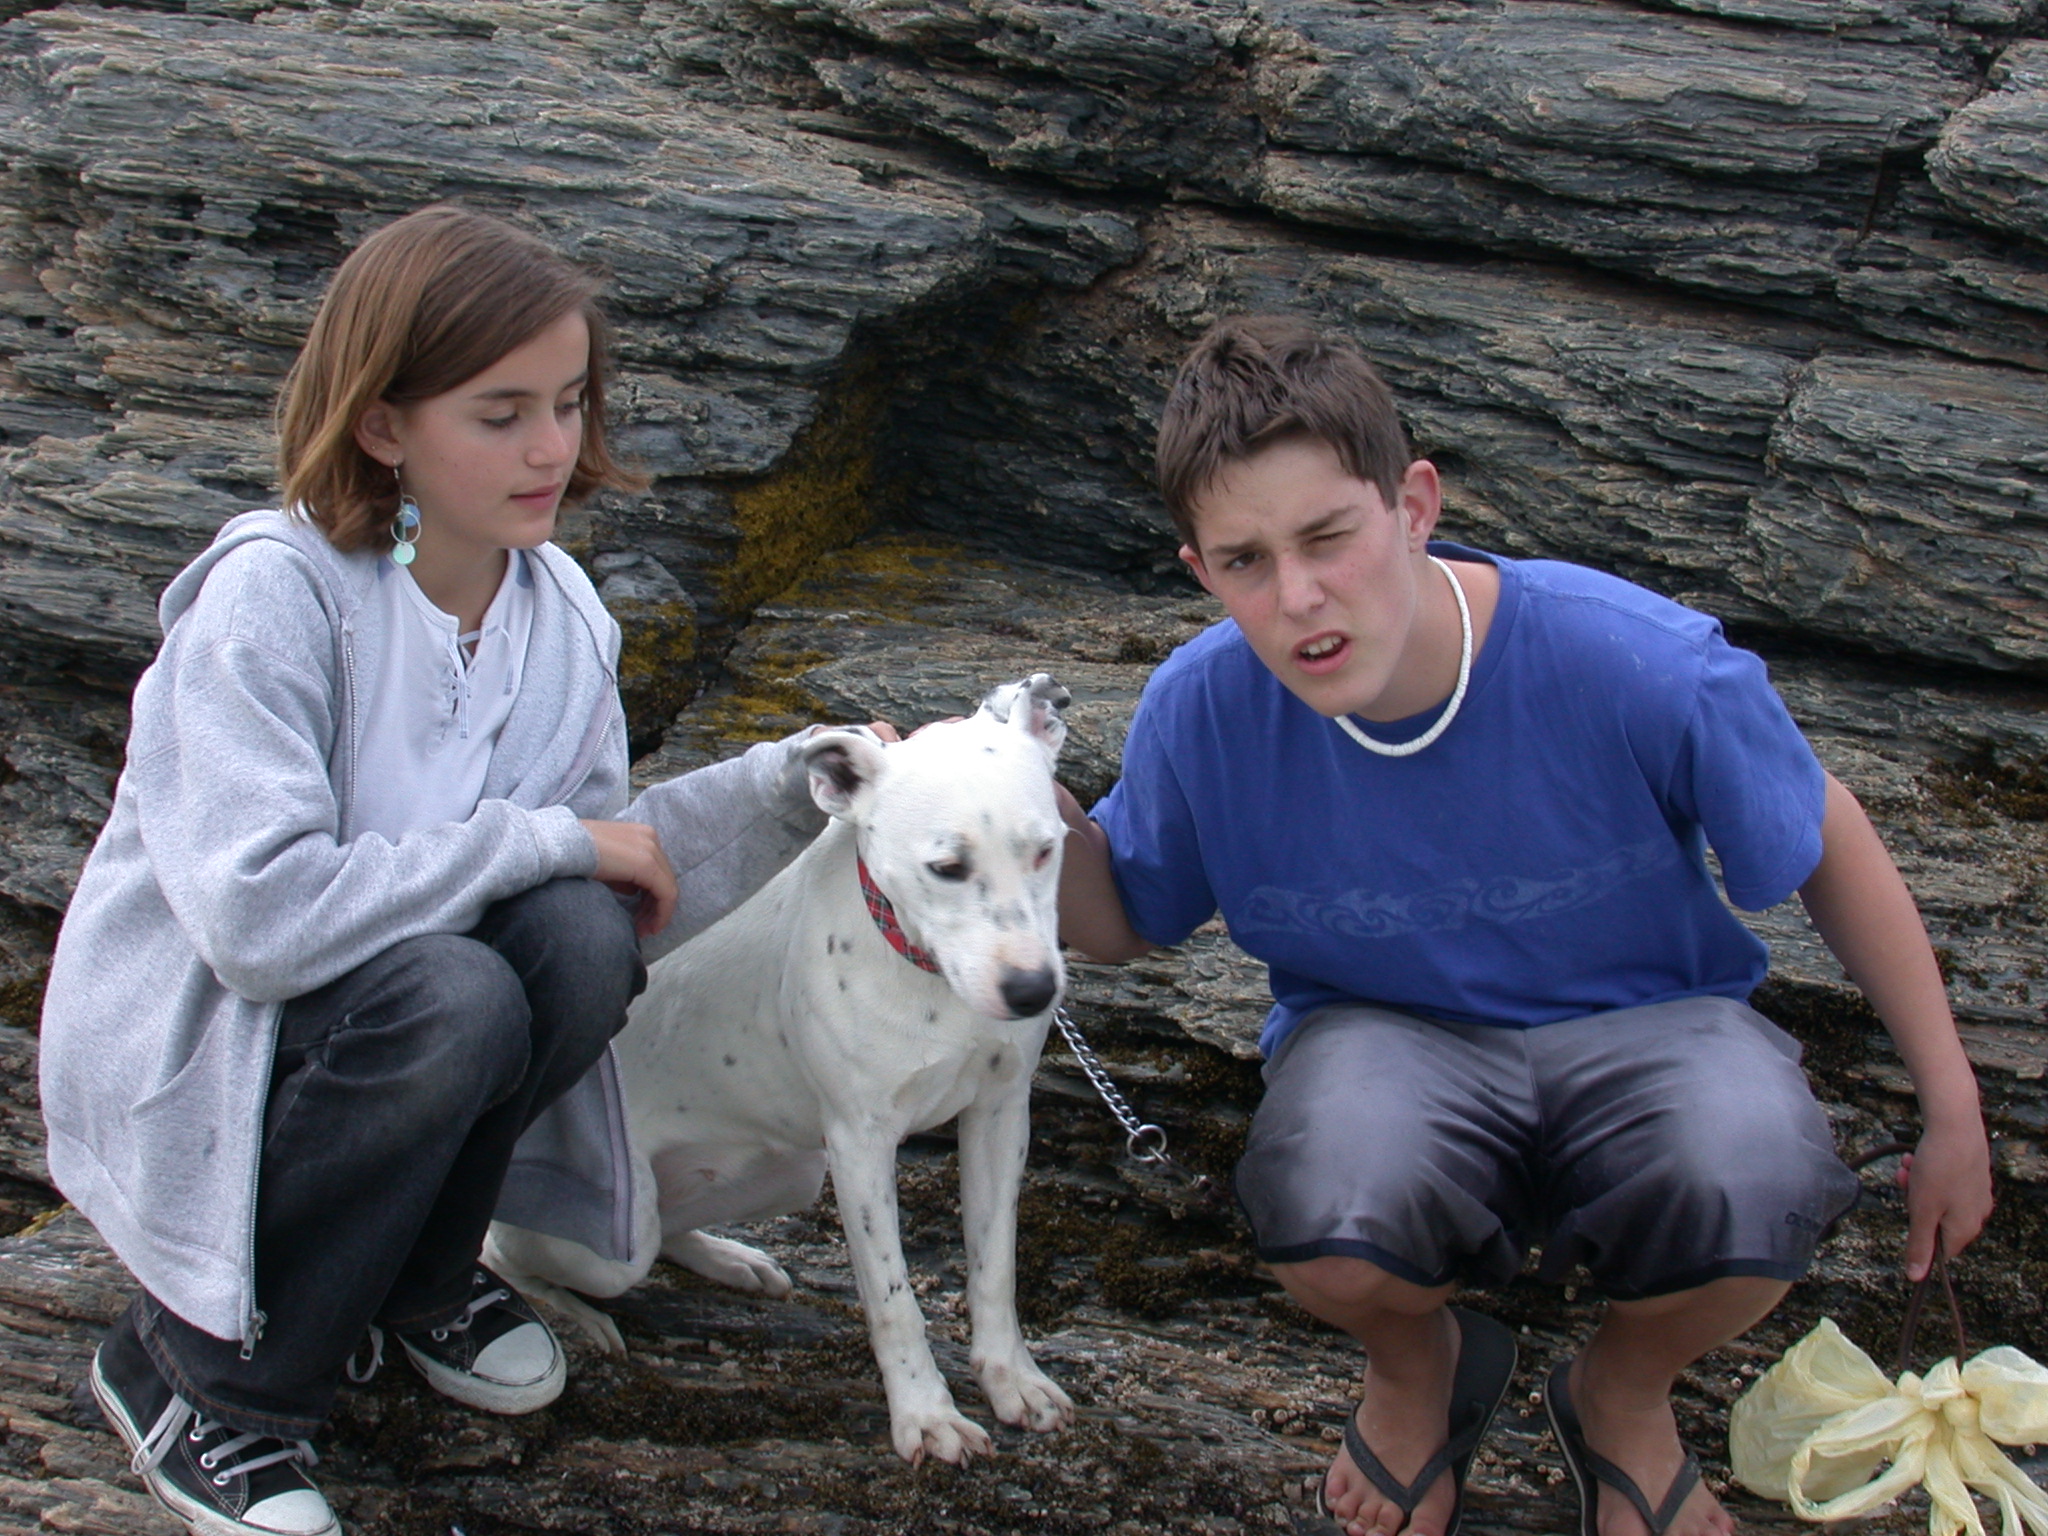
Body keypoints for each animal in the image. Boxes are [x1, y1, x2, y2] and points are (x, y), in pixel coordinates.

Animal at [486, 675, 1078, 1465]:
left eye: (1046, 850)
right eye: (947, 868)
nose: (1033, 991)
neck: (924, 973)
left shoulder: (1000, 1114)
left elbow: (995, 1268)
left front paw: (1011, 1377)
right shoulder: (860, 1145)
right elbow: (893, 1300)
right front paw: (926, 1414)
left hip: (786, 1173)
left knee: (674, 1226)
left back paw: (730, 1259)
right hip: (614, 1237)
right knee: (509, 1251)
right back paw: (576, 1318)